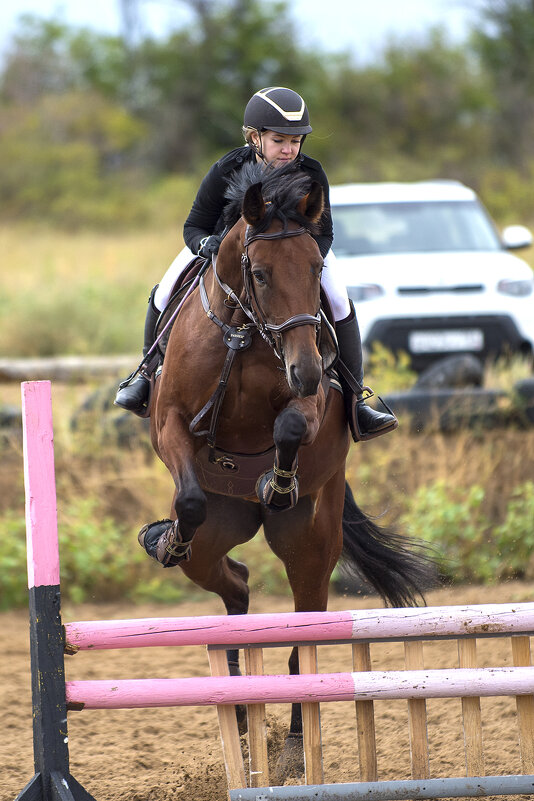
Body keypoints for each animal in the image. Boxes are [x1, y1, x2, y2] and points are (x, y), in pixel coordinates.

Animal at [139, 159, 436, 780]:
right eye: (258, 272)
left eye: (316, 268)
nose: (304, 369)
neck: (246, 333)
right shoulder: (170, 423)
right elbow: (188, 497)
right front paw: (168, 535)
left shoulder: (311, 402)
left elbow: (291, 428)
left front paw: (277, 482)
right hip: (218, 536)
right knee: (234, 582)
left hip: (310, 545)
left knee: (304, 636)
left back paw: (294, 750)